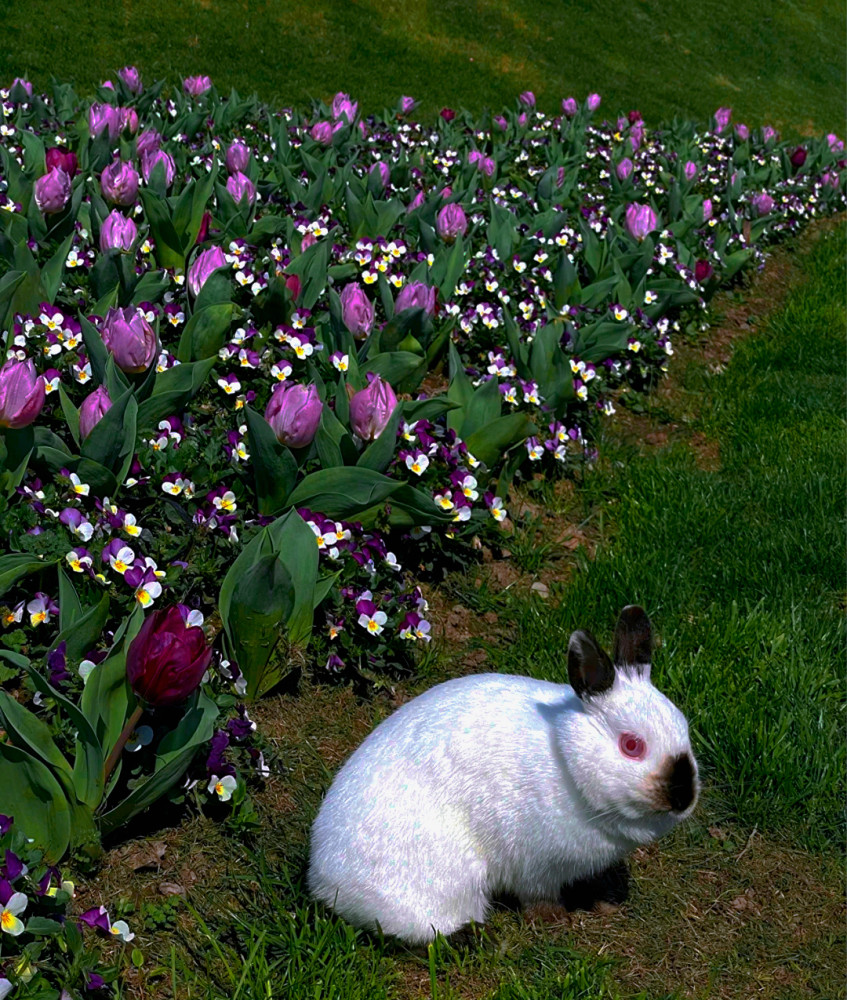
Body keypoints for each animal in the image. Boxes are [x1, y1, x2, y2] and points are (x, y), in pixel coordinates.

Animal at [308, 604, 700, 940]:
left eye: (684, 728)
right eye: (631, 746)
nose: (682, 797)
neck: (566, 759)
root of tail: (323, 878)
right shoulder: (535, 867)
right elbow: (538, 896)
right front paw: (554, 920)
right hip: (444, 882)